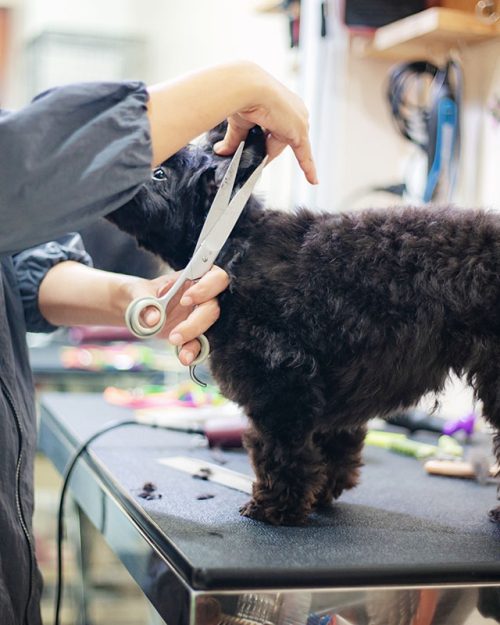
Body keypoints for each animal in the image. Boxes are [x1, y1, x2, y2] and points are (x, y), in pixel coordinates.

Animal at [107, 124, 500, 524]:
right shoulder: (333, 393)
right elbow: (333, 449)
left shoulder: (281, 383)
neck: (235, 245)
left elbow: (281, 454)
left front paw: (275, 506)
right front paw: (322, 493)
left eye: (159, 174)